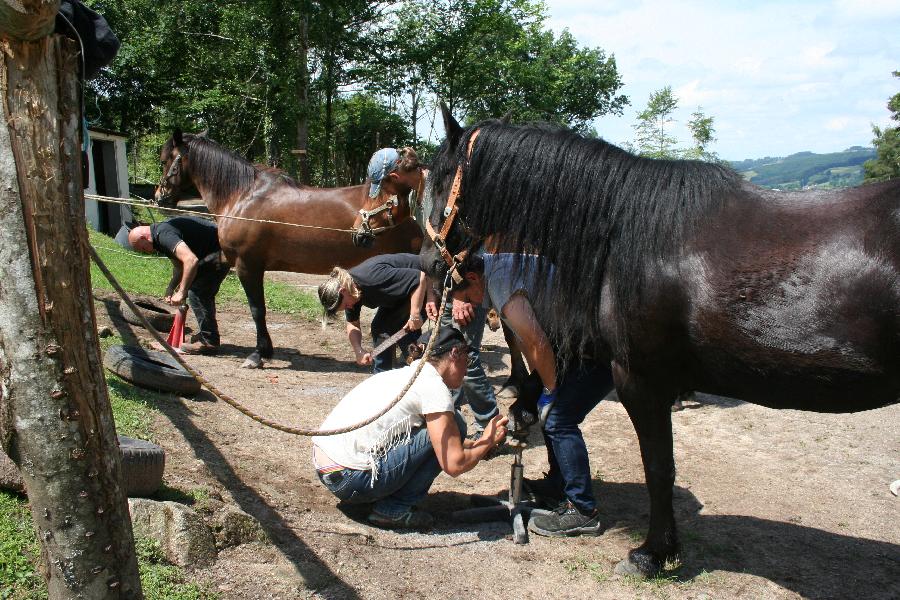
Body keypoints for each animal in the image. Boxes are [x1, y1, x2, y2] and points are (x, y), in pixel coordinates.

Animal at [154, 131, 422, 366]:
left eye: (165, 160)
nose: (159, 196)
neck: (242, 196)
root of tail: (411, 220)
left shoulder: (248, 265)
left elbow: (257, 310)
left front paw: (259, 354)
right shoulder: (229, 258)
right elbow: (200, 274)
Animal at [420, 105, 900, 580]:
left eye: (440, 178)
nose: (427, 262)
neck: (629, 235)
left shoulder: (642, 381)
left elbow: (658, 468)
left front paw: (652, 553)